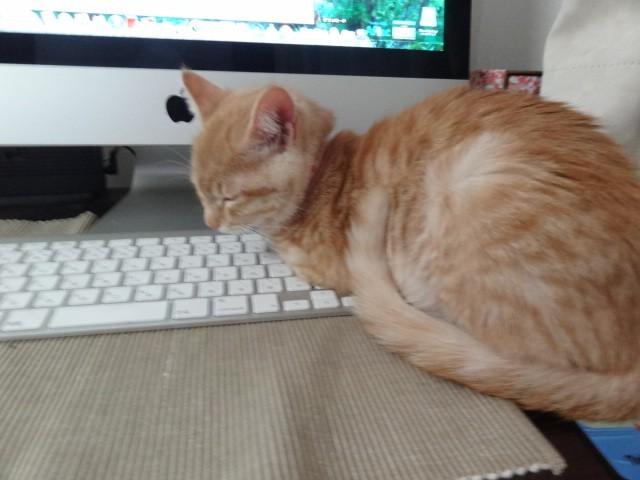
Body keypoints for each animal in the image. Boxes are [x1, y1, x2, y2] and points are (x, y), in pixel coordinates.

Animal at [183, 70, 640, 421]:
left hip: (468, 186)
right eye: (199, 192)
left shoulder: (326, 265)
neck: (321, 175)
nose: (208, 223)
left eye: (227, 197)